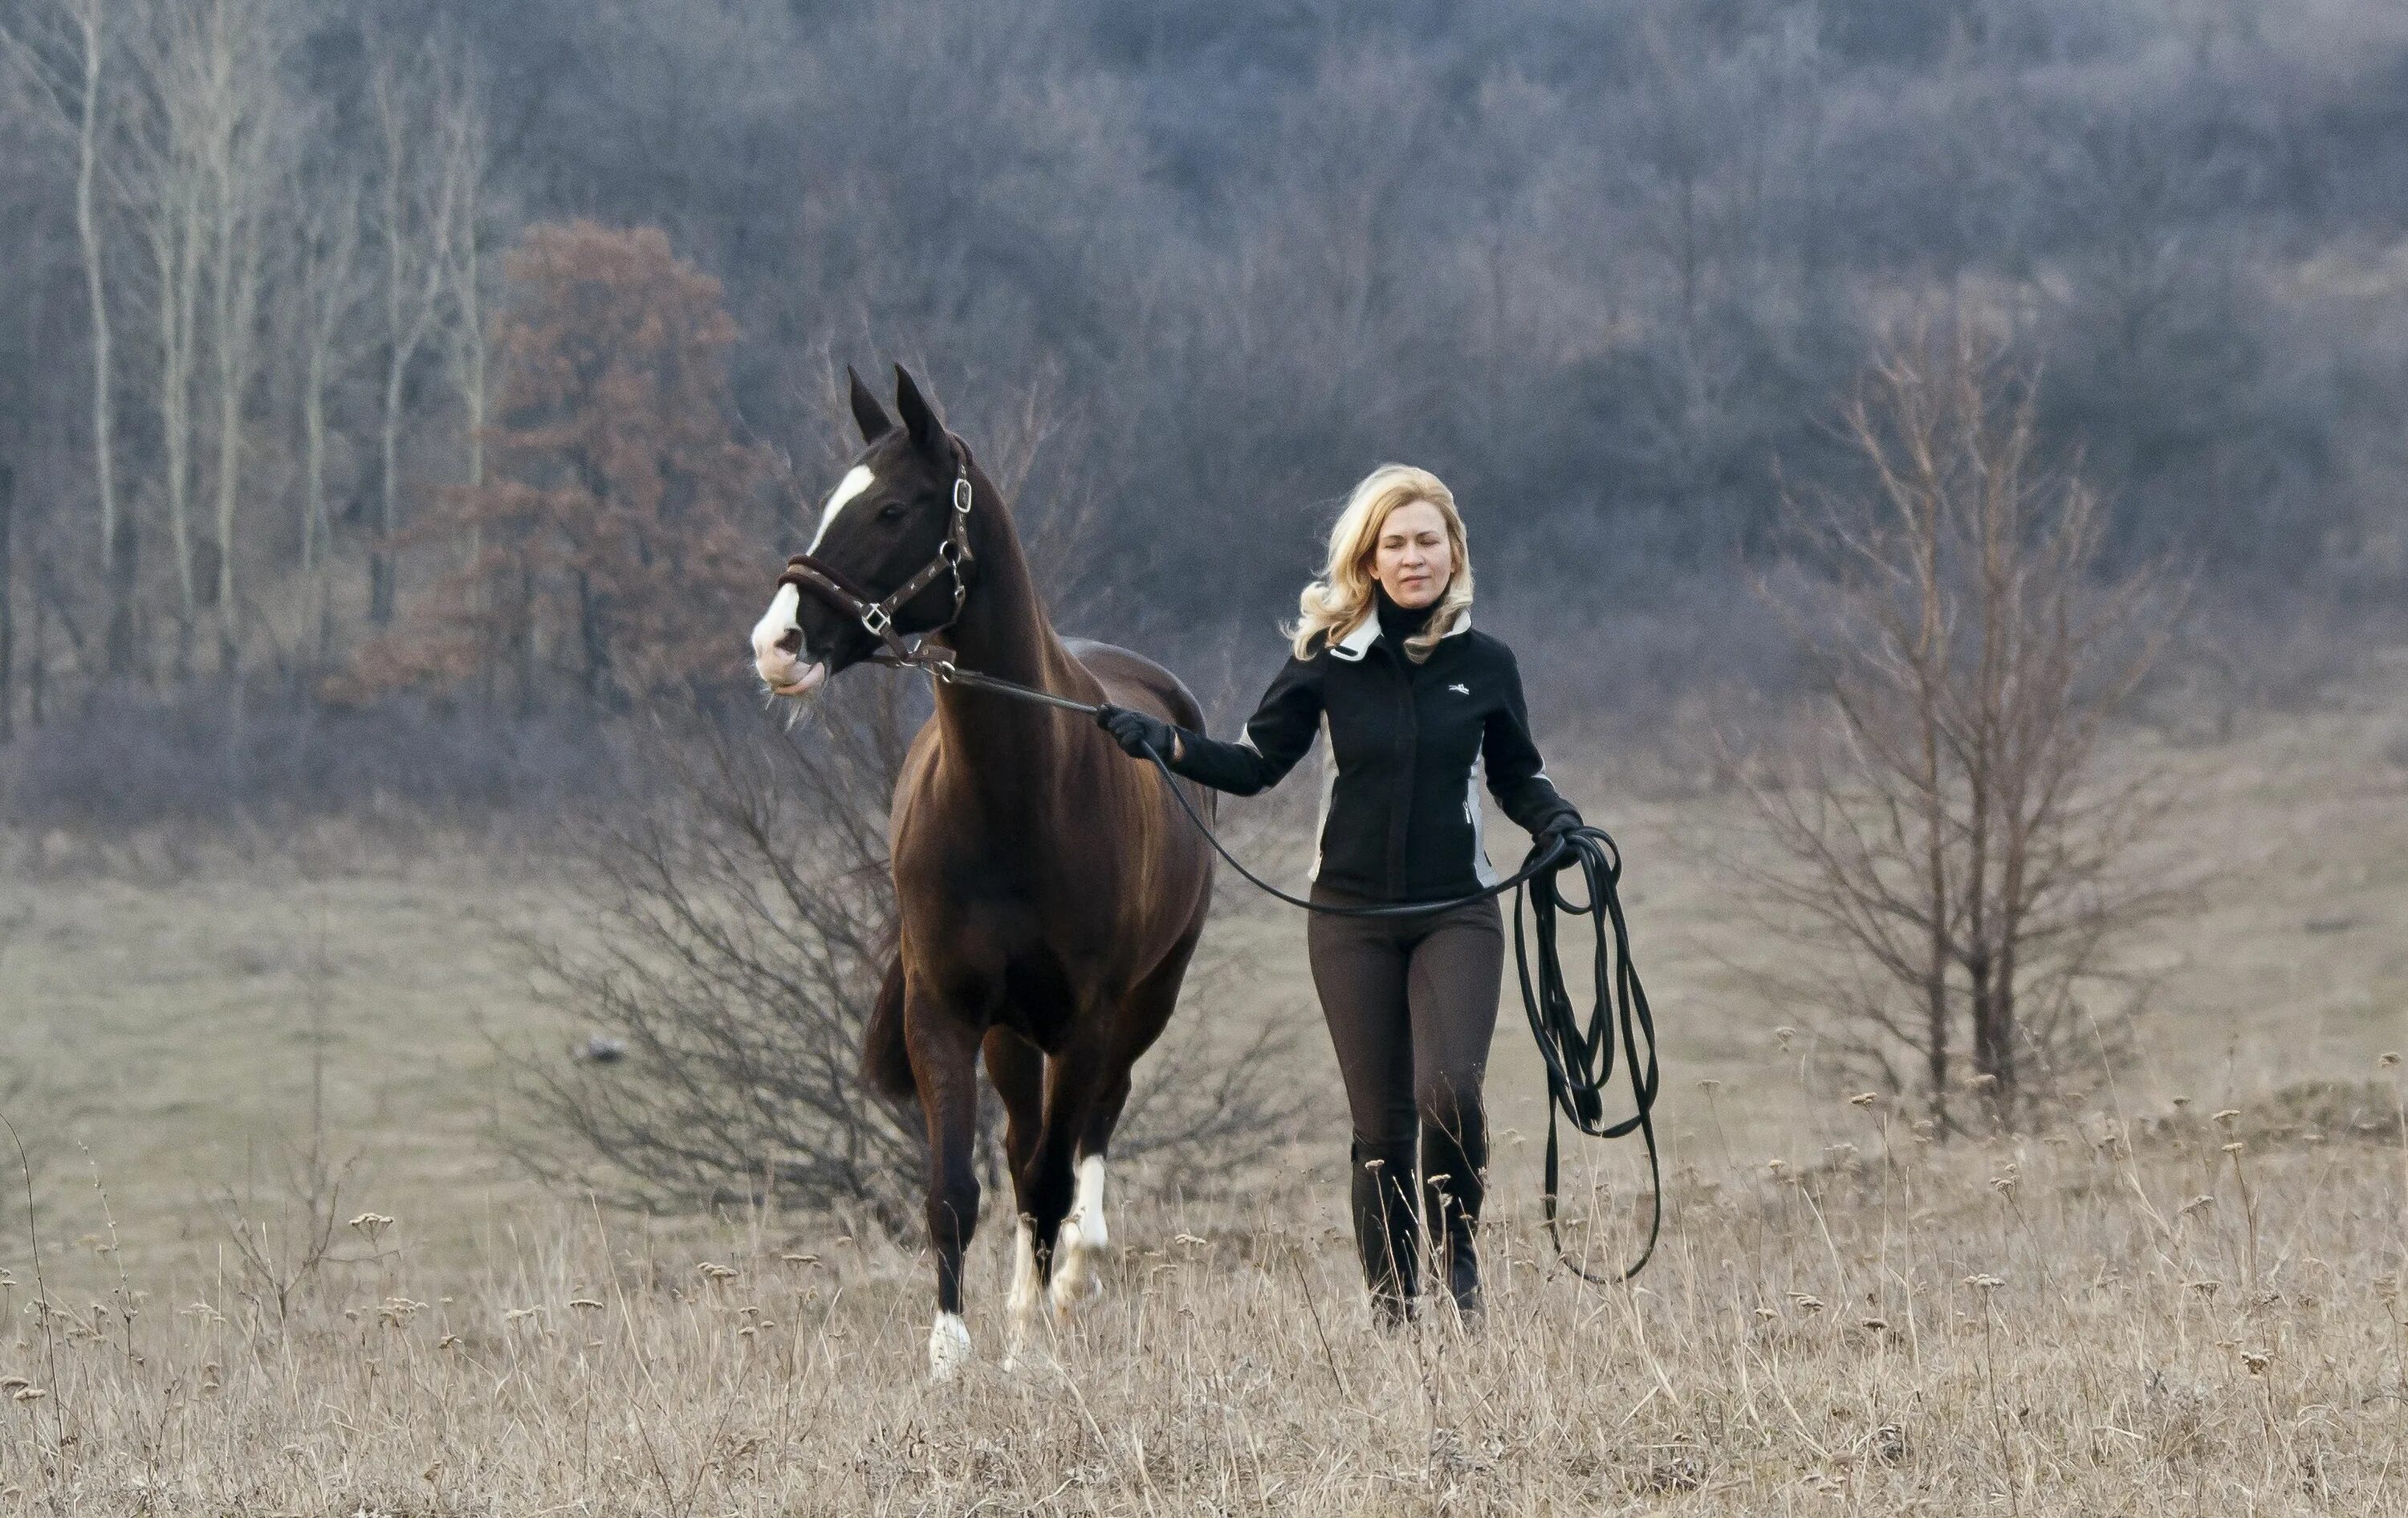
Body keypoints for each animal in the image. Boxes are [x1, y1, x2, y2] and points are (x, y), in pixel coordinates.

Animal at [746, 366, 1214, 1378]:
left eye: (891, 508)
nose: (777, 643)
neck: (1015, 800)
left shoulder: (1085, 1018)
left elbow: (1048, 1184)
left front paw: (1029, 1349)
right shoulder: (947, 1011)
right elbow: (955, 1187)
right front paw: (951, 1353)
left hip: (1141, 1006)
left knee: (1089, 1132)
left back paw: (1069, 1278)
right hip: (1010, 1034)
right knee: (1021, 1140)